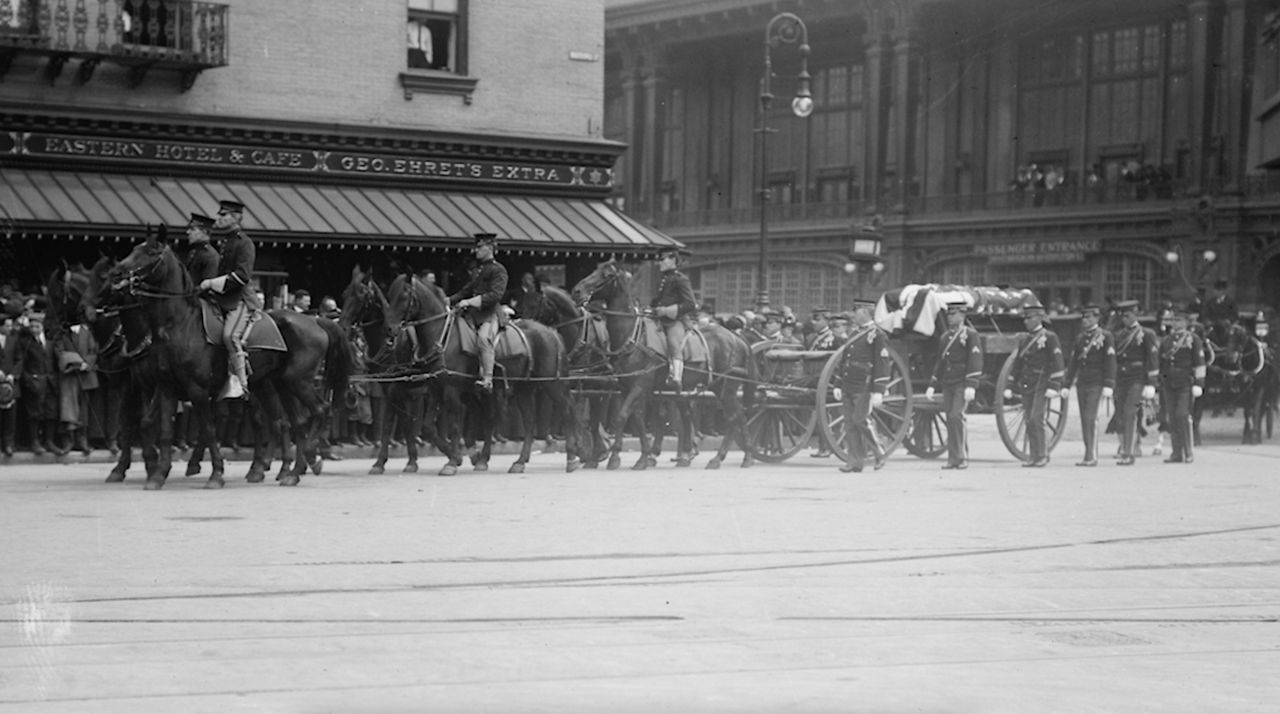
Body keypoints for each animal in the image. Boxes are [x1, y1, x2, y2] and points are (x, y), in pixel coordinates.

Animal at [80, 235, 353, 491]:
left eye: (149, 252)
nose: (86, 310)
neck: (174, 326)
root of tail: (315, 320)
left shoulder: (193, 390)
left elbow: (204, 429)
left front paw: (214, 474)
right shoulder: (158, 386)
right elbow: (155, 428)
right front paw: (155, 473)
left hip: (296, 382)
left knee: (318, 411)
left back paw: (305, 459)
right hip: (278, 384)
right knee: (291, 422)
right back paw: (290, 470)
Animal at [378, 273, 581, 476]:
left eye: (403, 296)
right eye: (389, 296)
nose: (389, 330)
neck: (442, 335)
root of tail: (551, 332)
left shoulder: (452, 389)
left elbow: (455, 425)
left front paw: (453, 462)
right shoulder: (436, 387)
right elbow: (428, 427)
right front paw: (458, 456)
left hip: (552, 384)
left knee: (567, 409)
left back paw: (571, 457)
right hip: (523, 388)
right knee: (529, 421)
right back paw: (518, 461)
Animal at [568, 259, 752, 473]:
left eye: (606, 275)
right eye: (595, 269)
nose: (576, 291)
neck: (632, 335)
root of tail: (737, 338)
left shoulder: (639, 386)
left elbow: (622, 416)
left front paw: (616, 457)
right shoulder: (627, 387)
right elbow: (637, 419)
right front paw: (643, 456)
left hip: (727, 388)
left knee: (735, 417)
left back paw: (731, 457)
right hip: (718, 388)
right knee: (735, 416)